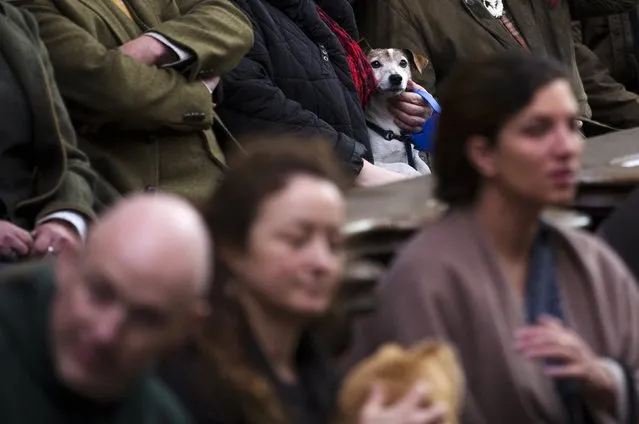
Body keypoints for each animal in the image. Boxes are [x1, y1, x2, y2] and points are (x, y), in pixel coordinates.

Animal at [364, 48, 430, 176]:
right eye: (375, 64)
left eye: (403, 63)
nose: (396, 78)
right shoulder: (375, 162)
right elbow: (406, 167)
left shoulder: (414, 157)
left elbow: (426, 170)